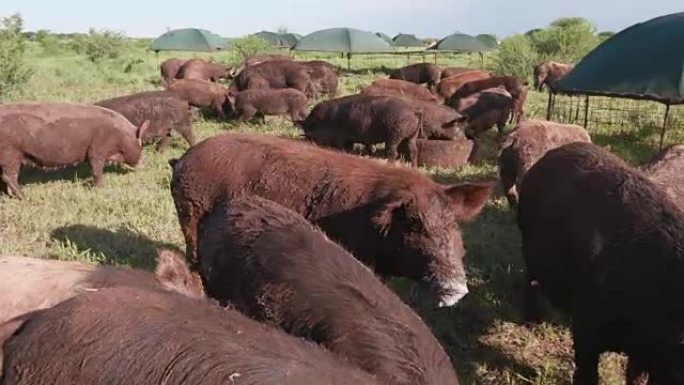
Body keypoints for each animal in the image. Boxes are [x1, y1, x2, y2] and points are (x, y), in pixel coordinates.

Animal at [0, 102, 148, 198]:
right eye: (140, 144)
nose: (143, 167)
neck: (121, 135)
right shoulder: (97, 149)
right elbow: (96, 170)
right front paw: (99, 189)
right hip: (10, 152)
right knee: (9, 176)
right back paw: (25, 196)